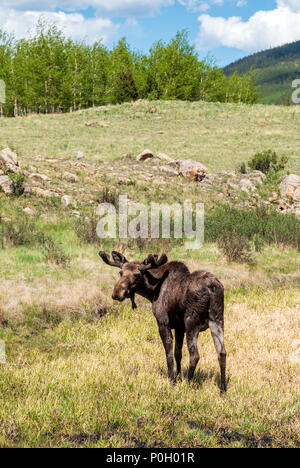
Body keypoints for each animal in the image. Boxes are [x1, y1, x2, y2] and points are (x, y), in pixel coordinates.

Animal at [99, 250, 226, 394]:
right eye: (120, 272)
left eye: (137, 275)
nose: (116, 293)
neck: (152, 290)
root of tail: (212, 288)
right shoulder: (179, 327)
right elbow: (178, 354)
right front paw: (178, 376)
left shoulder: (163, 323)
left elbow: (169, 355)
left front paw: (171, 381)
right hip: (217, 319)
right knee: (222, 352)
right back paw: (222, 389)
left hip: (192, 322)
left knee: (195, 355)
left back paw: (188, 384)